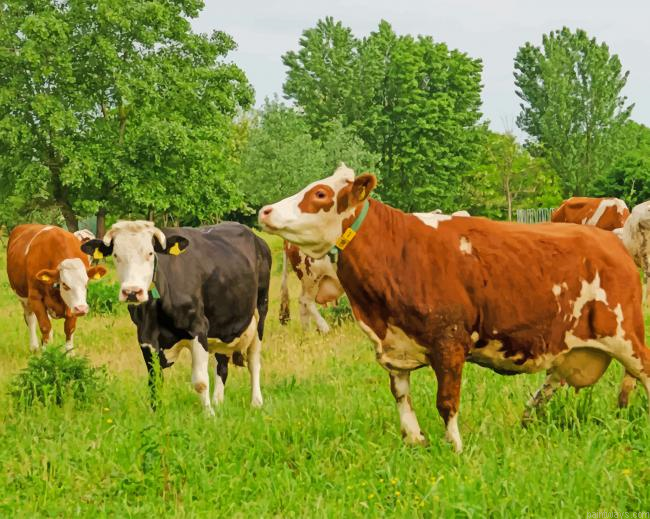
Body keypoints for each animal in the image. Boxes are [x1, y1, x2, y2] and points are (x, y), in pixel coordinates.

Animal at [81, 221, 271, 413]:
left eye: (150, 253)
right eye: (116, 254)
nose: (132, 292)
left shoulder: (198, 327)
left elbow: (200, 381)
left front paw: (209, 414)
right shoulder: (145, 335)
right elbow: (154, 379)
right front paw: (156, 413)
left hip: (260, 311)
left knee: (254, 361)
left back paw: (256, 402)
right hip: (223, 323)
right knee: (222, 364)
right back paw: (218, 401)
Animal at [259, 164, 650, 452]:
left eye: (320, 194)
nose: (265, 210)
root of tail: (612, 242)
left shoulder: (448, 342)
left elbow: (446, 401)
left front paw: (456, 448)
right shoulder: (393, 347)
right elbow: (401, 396)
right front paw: (414, 440)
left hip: (625, 335)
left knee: (642, 370)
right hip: (571, 343)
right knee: (554, 379)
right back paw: (528, 416)